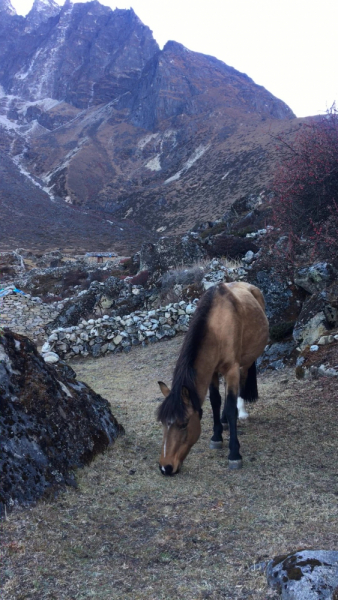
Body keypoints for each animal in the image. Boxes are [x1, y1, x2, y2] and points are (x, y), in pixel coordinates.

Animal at [156, 284, 270, 476]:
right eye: (163, 423)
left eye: (184, 424)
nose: (166, 467)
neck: (217, 326)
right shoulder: (212, 372)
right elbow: (215, 401)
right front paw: (217, 436)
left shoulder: (231, 369)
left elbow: (231, 409)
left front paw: (234, 454)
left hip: (245, 362)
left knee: (242, 381)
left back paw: (242, 412)